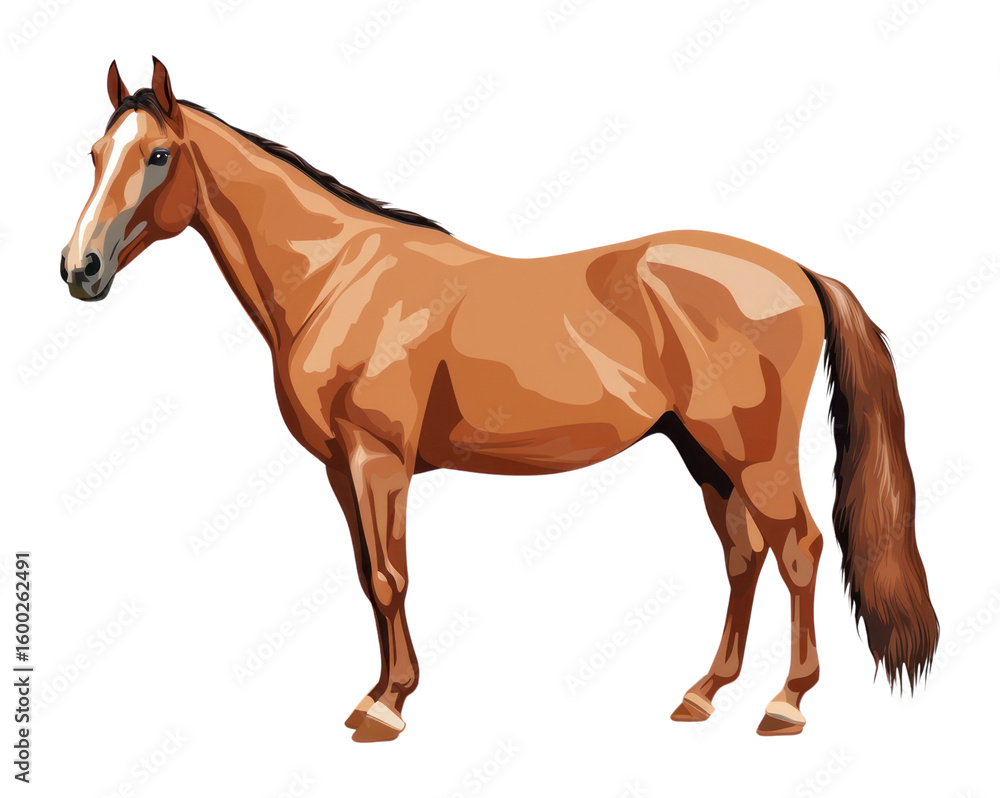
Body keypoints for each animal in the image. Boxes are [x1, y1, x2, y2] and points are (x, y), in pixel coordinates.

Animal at [62, 58, 938, 742]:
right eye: (98, 151)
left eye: (159, 155)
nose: (80, 268)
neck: (340, 278)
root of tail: (797, 271)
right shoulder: (342, 471)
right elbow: (366, 576)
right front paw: (377, 693)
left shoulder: (379, 461)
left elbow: (392, 576)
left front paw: (388, 709)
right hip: (702, 451)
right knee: (742, 555)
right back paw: (703, 694)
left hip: (753, 453)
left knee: (799, 549)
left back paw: (786, 704)